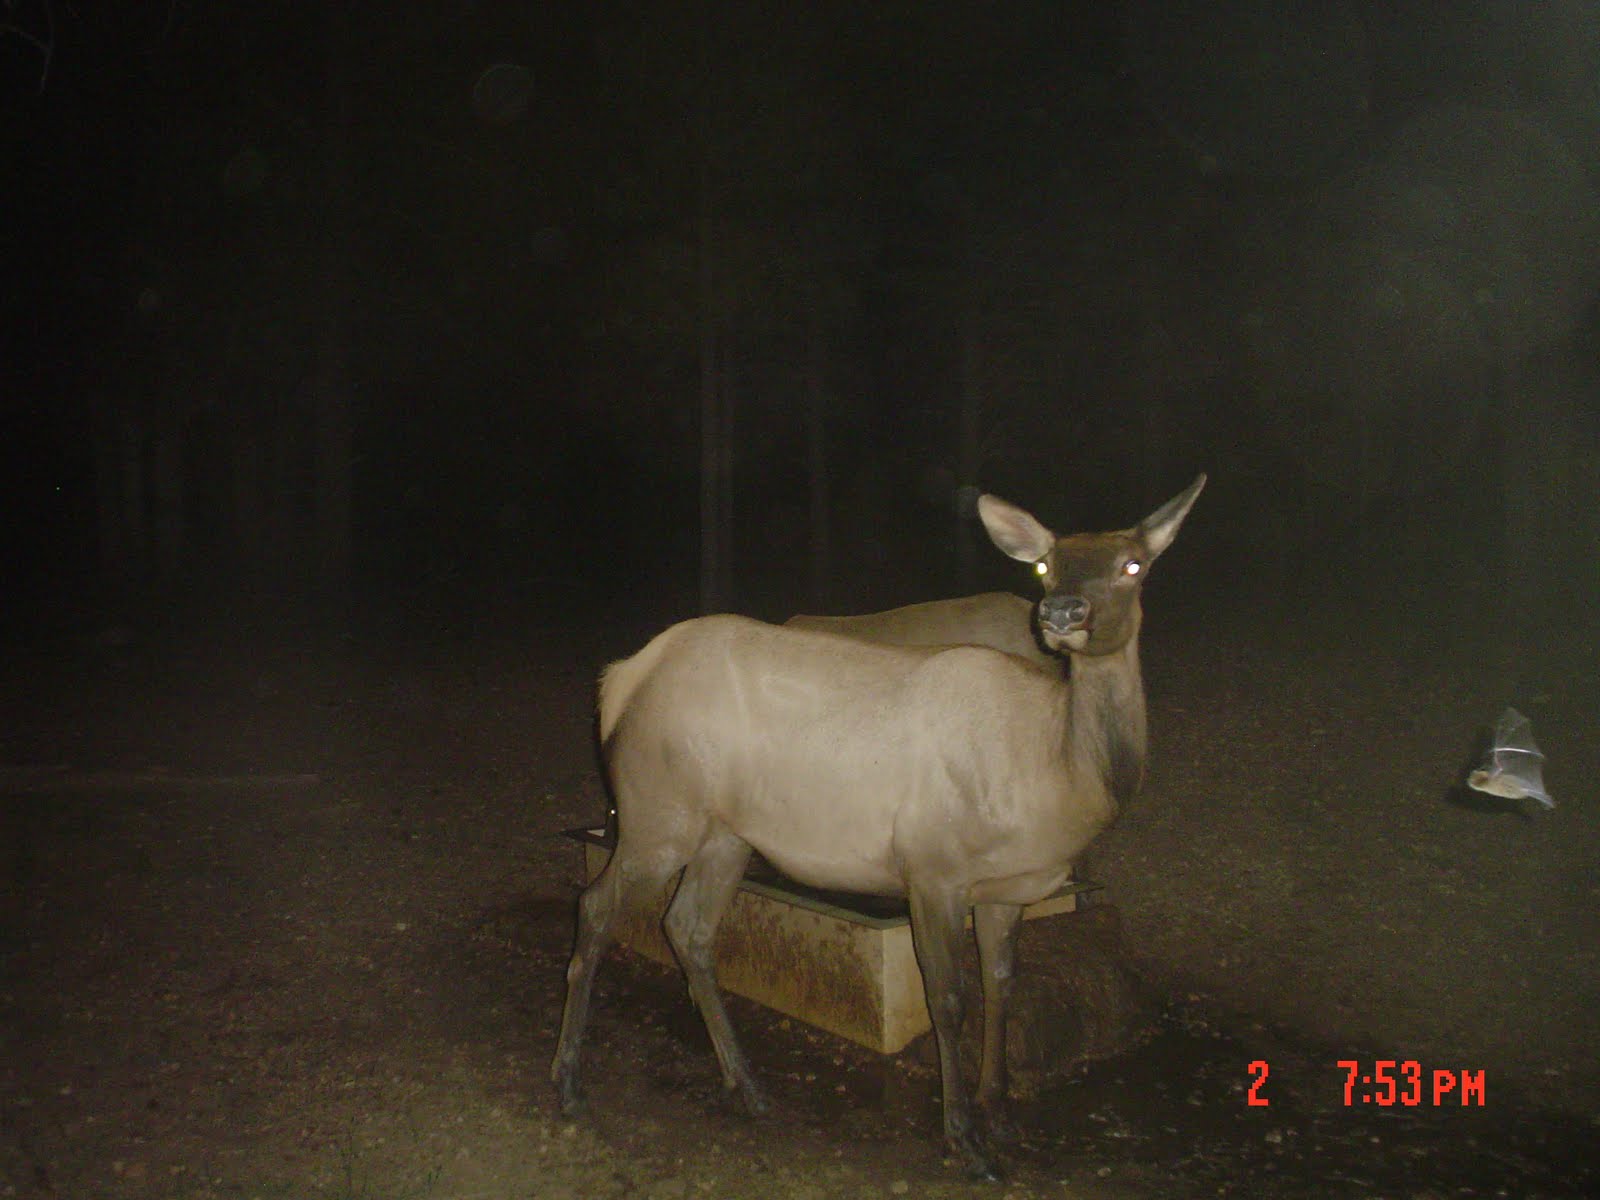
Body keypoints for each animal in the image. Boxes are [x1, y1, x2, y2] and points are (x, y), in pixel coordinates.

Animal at [551, 475, 1205, 1180]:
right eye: (1046, 564)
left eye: (1132, 565)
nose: (1062, 612)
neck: (1055, 782)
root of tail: (621, 680)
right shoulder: (932, 866)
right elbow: (949, 999)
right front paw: (963, 1139)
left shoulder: (1005, 888)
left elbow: (1002, 986)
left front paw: (1001, 1116)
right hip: (658, 809)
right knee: (595, 907)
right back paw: (569, 1083)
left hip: (727, 832)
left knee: (689, 927)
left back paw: (747, 1085)